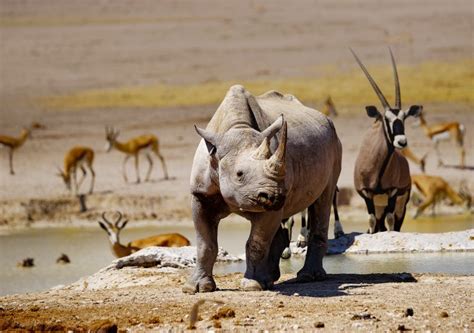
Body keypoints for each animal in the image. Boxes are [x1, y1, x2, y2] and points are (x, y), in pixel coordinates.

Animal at [352, 47, 422, 233]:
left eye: (404, 118)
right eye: (386, 118)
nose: (401, 142)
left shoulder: (393, 192)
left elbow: (390, 221)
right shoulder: (366, 193)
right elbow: (371, 221)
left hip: (400, 202)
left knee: (393, 222)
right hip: (379, 205)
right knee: (378, 223)